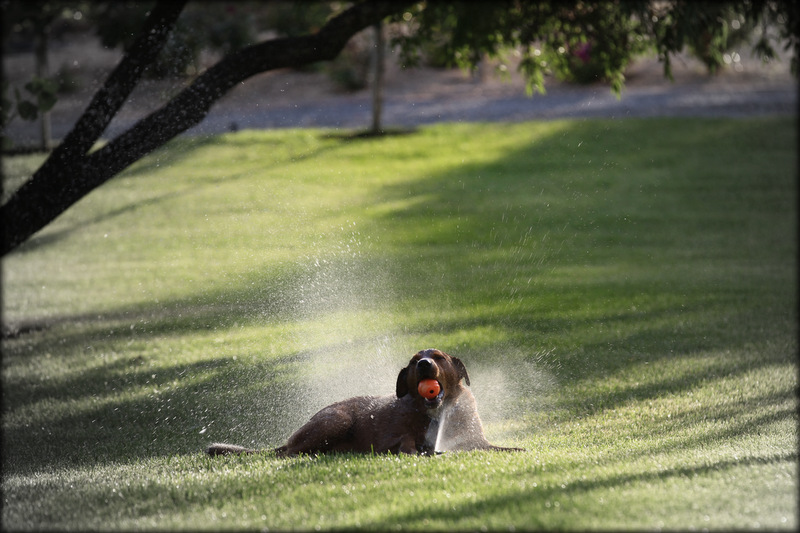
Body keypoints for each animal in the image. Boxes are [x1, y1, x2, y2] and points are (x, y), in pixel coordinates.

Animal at [205, 348, 524, 456]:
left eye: (438, 357)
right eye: (413, 361)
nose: (423, 364)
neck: (436, 412)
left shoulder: (476, 441)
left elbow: (500, 448)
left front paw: (518, 449)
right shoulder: (398, 436)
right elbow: (407, 444)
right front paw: (420, 452)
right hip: (338, 420)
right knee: (288, 454)